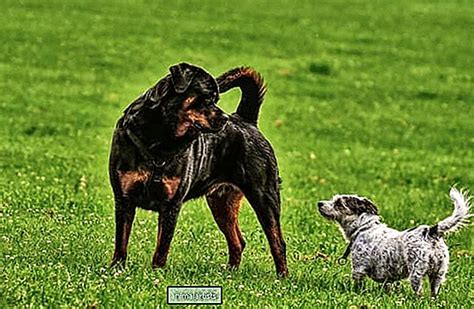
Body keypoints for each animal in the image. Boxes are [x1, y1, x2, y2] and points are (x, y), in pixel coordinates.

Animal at [318, 185, 470, 296]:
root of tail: (431, 231)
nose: (319, 203)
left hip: (416, 272)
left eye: (338, 203)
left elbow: (358, 286)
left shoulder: (358, 269)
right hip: (438, 275)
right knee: (434, 293)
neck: (363, 228)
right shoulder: (388, 276)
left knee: (419, 292)